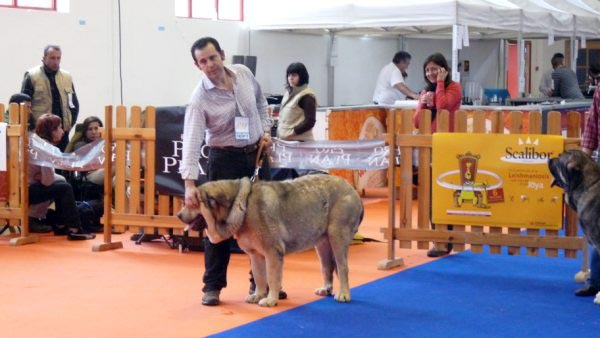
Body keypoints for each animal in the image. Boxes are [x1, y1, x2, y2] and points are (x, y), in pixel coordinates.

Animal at [178, 174, 364, 306]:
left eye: (192, 204)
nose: (178, 215)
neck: (241, 206)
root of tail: (353, 191)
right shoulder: (256, 255)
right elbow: (259, 277)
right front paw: (258, 295)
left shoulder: (273, 252)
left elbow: (272, 277)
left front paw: (270, 299)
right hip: (322, 243)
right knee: (327, 266)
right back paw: (326, 289)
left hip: (337, 236)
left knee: (342, 267)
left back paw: (344, 294)